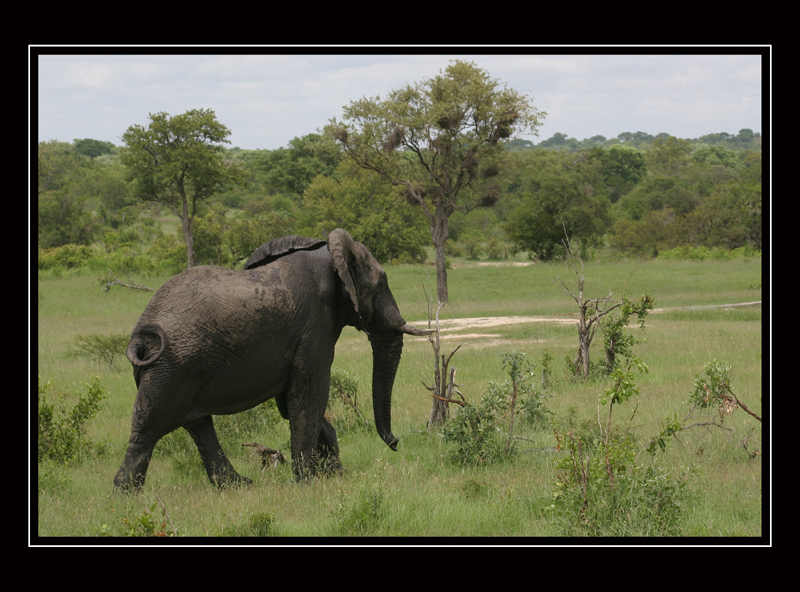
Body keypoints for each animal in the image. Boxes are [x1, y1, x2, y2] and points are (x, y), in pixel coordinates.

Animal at [113, 227, 428, 490]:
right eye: (381, 282)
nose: (397, 443)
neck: (328, 253)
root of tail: (141, 332)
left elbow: (291, 404)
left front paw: (334, 474)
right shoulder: (315, 325)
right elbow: (310, 396)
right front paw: (307, 482)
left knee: (198, 425)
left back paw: (238, 486)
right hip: (174, 366)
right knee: (149, 428)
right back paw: (126, 494)